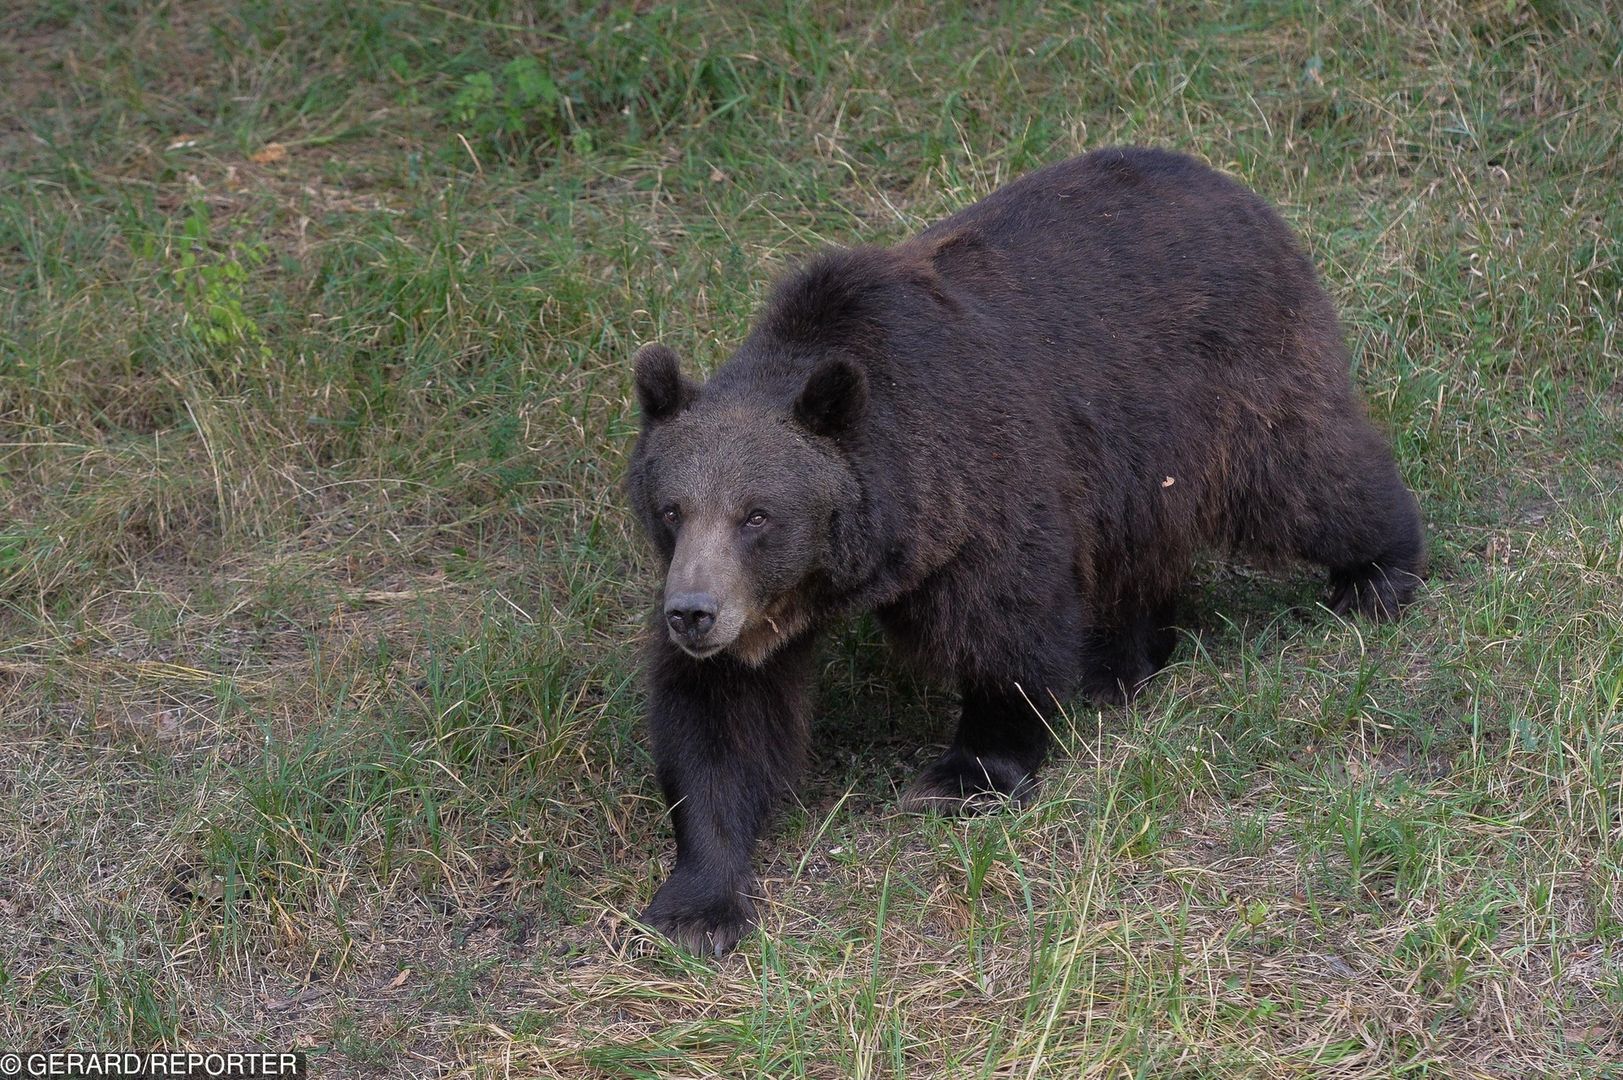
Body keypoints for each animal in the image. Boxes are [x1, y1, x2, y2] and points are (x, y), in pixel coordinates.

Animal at [626, 142, 1428, 954]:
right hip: (1142, 466)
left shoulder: (980, 490)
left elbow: (1006, 629)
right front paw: (696, 904)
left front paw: (967, 775)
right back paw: (1119, 661)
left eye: (757, 514)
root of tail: (1231, 187)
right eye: (672, 508)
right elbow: (720, 720)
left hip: (1220, 386)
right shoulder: (754, 612)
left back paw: (1376, 574)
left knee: (1305, 477)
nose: (692, 612)